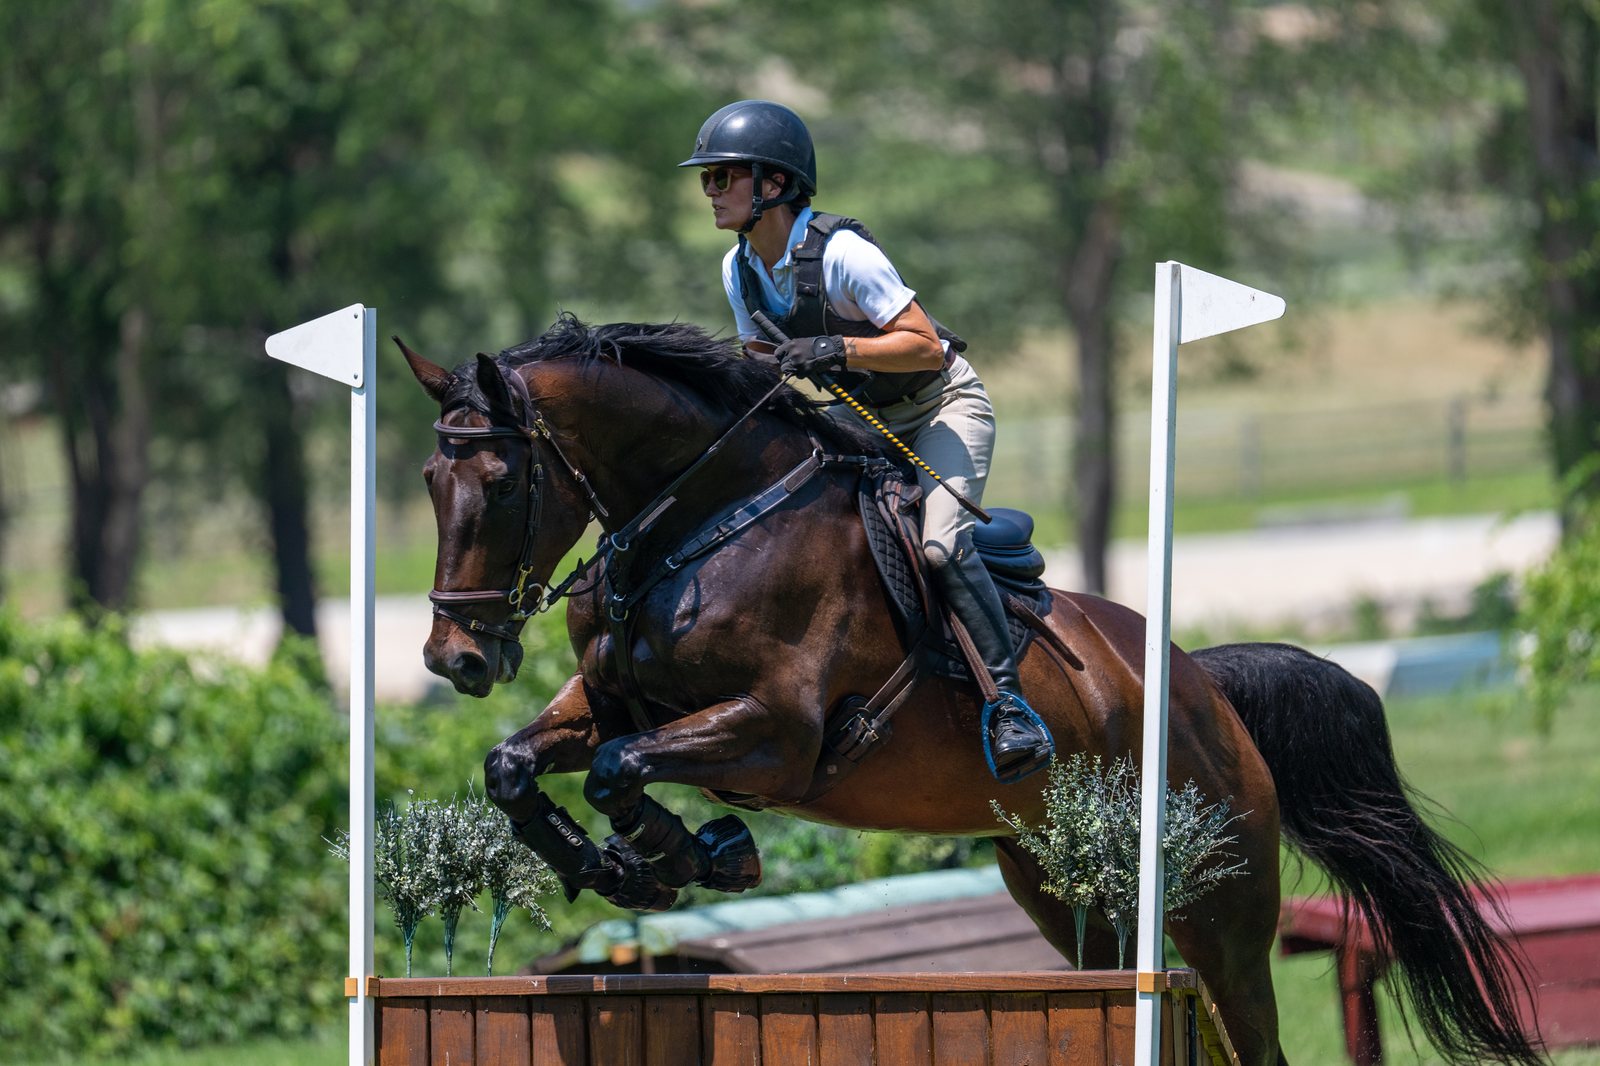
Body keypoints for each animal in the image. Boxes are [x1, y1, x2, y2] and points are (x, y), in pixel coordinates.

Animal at [400, 315, 1541, 1066]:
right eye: (427, 481)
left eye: (500, 480)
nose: (456, 658)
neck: (705, 520)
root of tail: (1203, 684)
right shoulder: (611, 702)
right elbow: (519, 763)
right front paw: (621, 866)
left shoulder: (778, 735)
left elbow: (616, 767)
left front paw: (695, 852)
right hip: (1062, 884)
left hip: (1218, 903)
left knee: (1249, 1026)